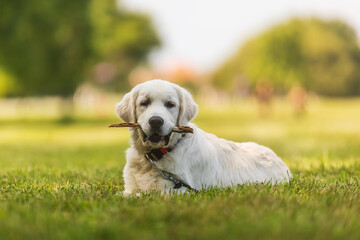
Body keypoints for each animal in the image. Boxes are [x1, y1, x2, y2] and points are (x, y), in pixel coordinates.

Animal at [116, 79, 292, 195]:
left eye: (170, 104)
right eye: (144, 102)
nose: (156, 121)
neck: (156, 156)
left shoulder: (176, 191)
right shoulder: (131, 186)